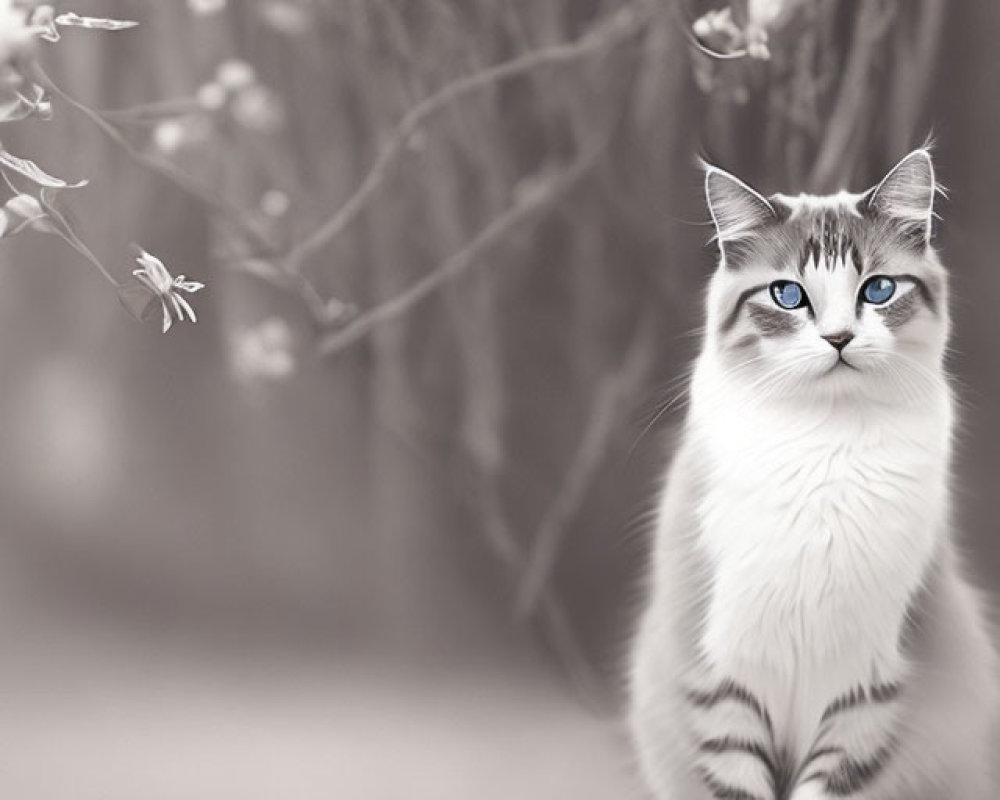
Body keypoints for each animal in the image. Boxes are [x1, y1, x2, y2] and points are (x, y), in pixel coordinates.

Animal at [628, 152, 996, 800]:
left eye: (878, 289)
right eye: (787, 295)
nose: (839, 339)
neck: (827, 447)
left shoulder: (865, 685)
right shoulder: (723, 672)